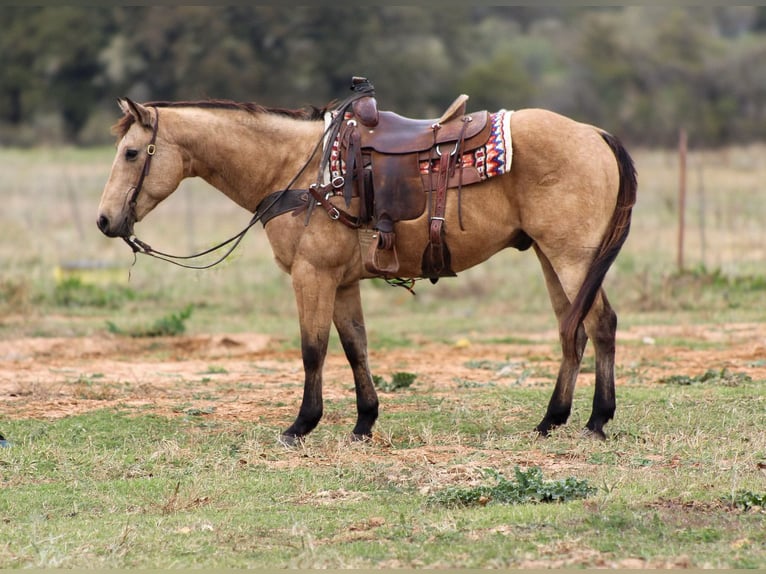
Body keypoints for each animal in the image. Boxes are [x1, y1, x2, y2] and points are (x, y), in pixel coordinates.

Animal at [97, 90, 637, 444]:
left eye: (131, 152)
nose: (104, 220)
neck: (301, 171)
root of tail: (595, 133)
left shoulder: (311, 275)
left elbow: (312, 350)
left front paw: (301, 425)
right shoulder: (342, 283)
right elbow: (355, 348)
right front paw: (364, 422)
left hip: (573, 257)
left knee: (601, 325)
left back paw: (596, 421)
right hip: (551, 258)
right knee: (572, 331)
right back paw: (552, 420)